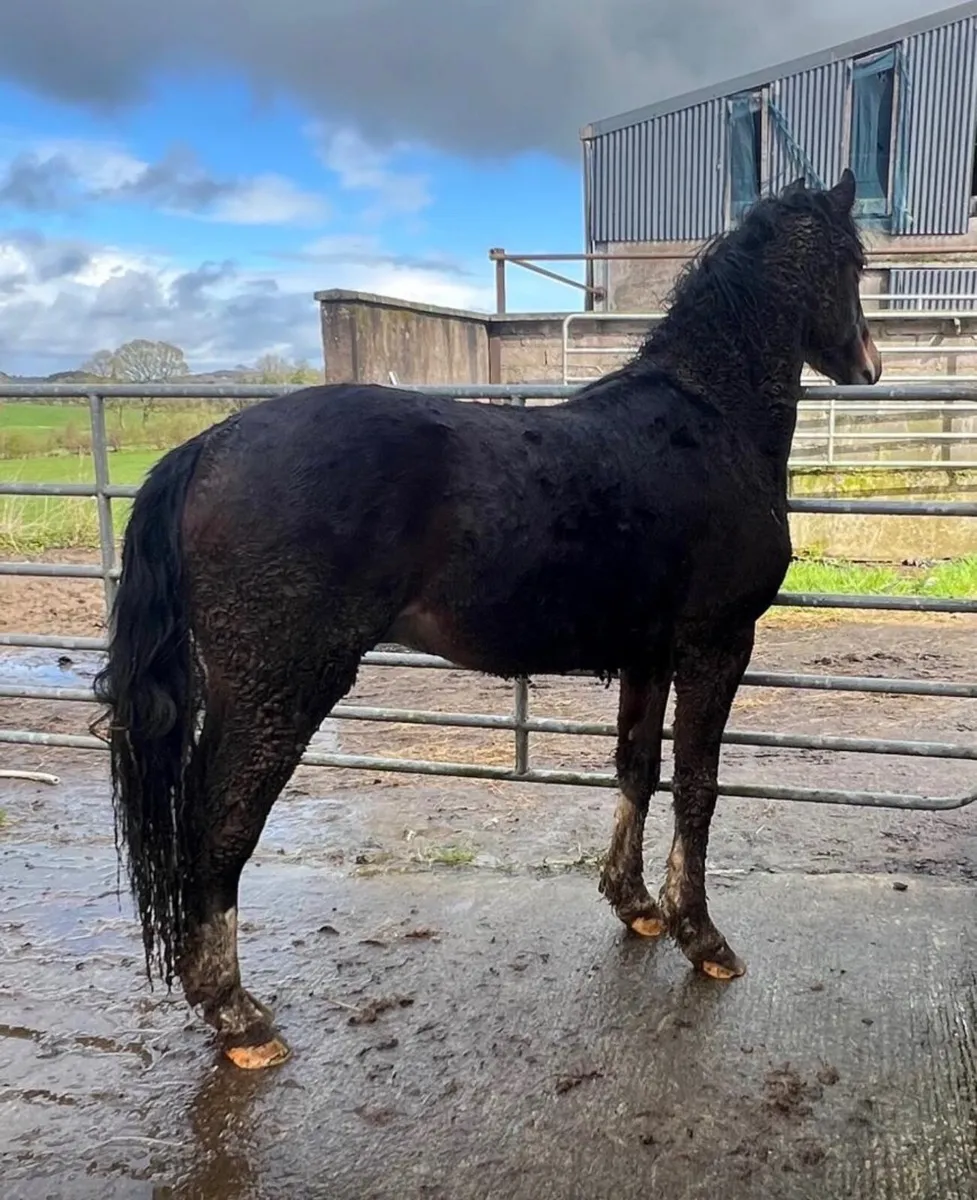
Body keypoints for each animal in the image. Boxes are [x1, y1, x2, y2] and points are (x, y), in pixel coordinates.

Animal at [93, 169, 881, 1070]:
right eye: (854, 261)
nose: (868, 364)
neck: (706, 416)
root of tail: (207, 448)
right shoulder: (716, 646)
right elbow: (698, 787)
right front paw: (702, 937)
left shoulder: (648, 654)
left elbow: (636, 769)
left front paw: (634, 904)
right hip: (277, 686)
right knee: (219, 823)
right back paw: (237, 1017)